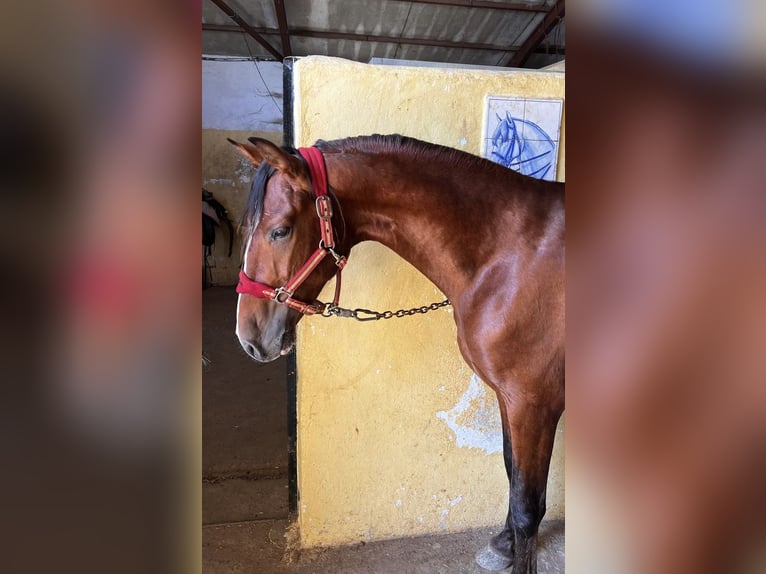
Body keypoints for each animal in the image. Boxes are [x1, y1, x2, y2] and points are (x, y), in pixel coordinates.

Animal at [231, 136, 568, 574]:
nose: (249, 336)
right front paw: (503, 546)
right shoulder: (508, 398)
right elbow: (512, 474)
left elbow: (528, 506)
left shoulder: (533, 405)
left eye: (280, 230)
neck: (507, 258)